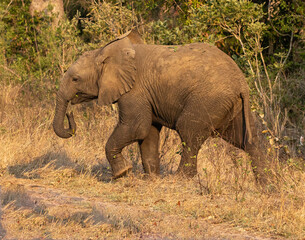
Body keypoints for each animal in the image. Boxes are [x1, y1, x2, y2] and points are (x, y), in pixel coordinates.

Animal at [53, 30, 268, 184]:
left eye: (75, 79)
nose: (70, 114)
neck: (108, 52)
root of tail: (242, 83)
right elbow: (148, 132)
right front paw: (151, 179)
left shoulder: (135, 91)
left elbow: (136, 127)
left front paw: (122, 174)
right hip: (232, 106)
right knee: (247, 141)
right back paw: (266, 188)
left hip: (209, 100)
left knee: (188, 131)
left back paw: (180, 180)